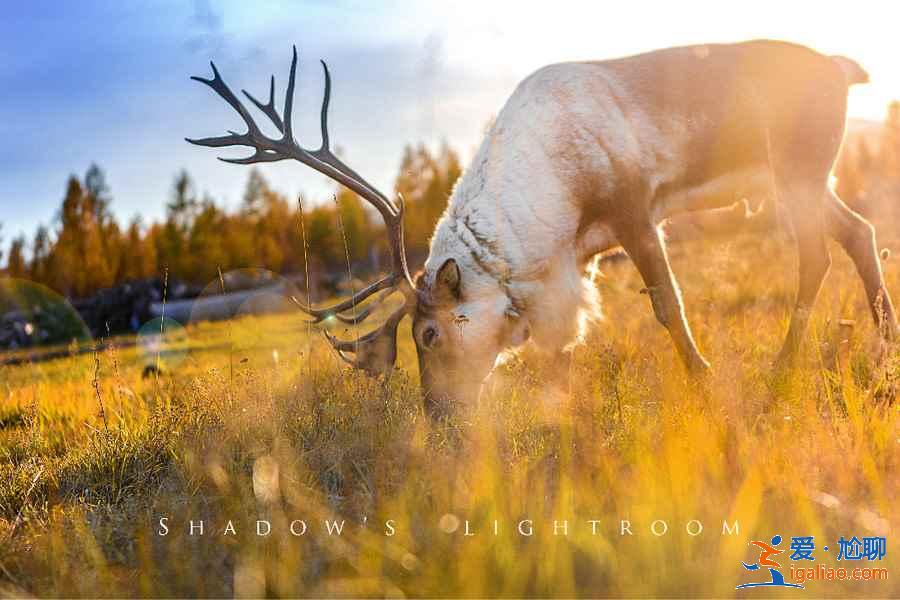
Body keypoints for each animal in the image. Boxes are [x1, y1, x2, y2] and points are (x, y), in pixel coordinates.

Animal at [188, 39, 892, 410]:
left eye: (428, 334)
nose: (437, 416)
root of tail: (842, 66)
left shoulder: (634, 210)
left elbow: (669, 306)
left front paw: (706, 382)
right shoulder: (570, 263)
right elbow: (564, 349)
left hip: (798, 172)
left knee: (818, 256)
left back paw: (781, 369)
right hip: (806, 179)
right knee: (860, 233)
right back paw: (884, 348)